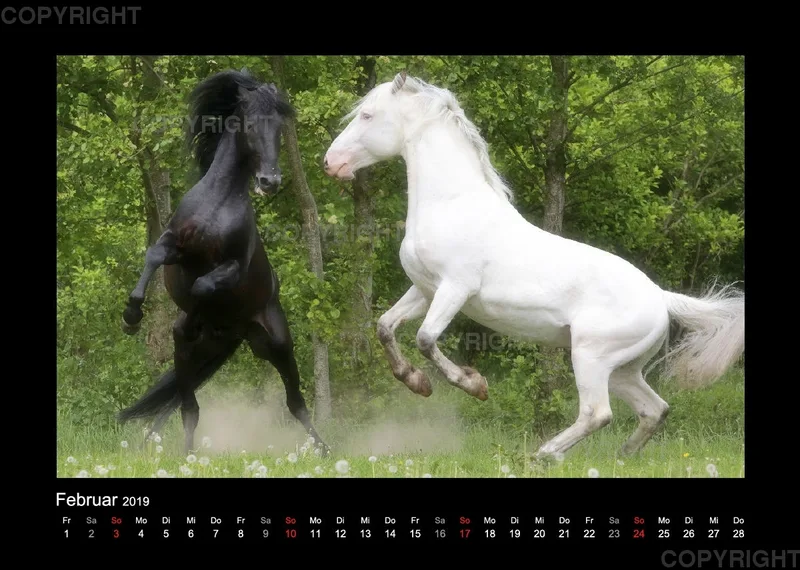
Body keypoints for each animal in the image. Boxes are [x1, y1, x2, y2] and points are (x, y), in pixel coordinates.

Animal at [117, 68, 330, 456]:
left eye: (279, 128)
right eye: (250, 124)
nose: (270, 181)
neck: (218, 204)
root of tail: (235, 334)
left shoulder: (233, 267)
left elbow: (204, 285)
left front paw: (188, 318)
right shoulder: (174, 247)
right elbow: (154, 256)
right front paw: (131, 316)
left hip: (277, 345)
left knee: (296, 403)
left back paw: (324, 450)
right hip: (199, 357)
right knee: (185, 404)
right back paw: (183, 452)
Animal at [322, 72, 744, 459]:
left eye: (367, 116)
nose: (330, 163)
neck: (449, 204)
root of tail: (661, 297)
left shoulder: (455, 289)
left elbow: (426, 339)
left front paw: (475, 385)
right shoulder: (424, 289)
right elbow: (385, 327)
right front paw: (416, 383)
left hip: (590, 357)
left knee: (598, 413)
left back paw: (545, 454)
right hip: (622, 369)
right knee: (654, 409)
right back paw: (620, 456)